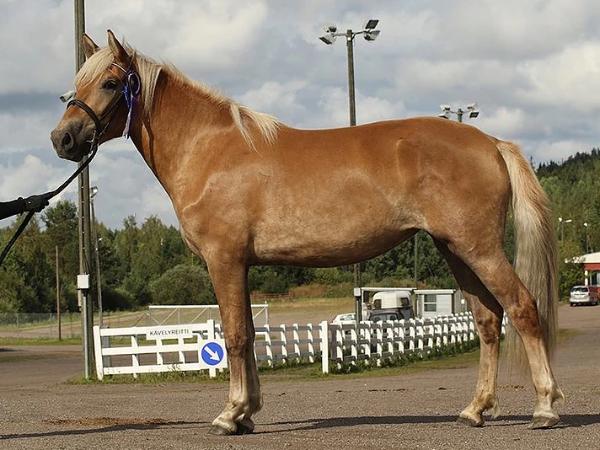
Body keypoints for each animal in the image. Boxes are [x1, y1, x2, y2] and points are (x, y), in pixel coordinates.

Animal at [51, 31, 563, 435]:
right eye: (73, 87)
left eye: (110, 83)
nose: (63, 139)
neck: (209, 151)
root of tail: (491, 143)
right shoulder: (242, 265)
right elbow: (250, 331)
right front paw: (248, 412)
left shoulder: (224, 259)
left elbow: (235, 335)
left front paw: (230, 414)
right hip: (456, 250)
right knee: (488, 321)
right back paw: (475, 410)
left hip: (480, 248)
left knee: (521, 308)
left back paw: (544, 407)